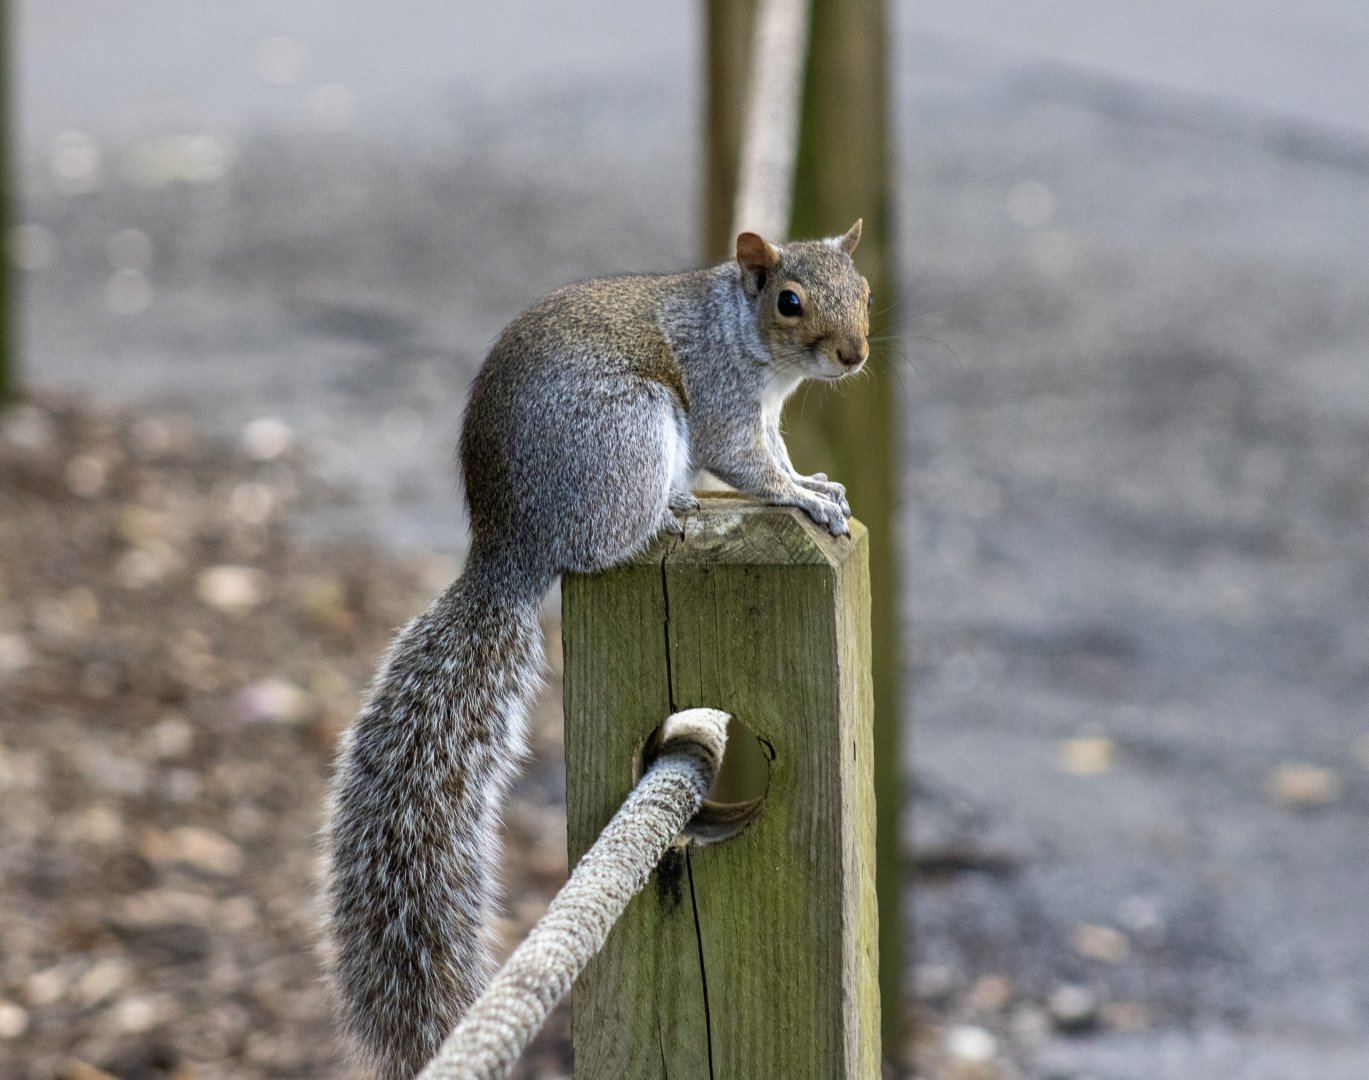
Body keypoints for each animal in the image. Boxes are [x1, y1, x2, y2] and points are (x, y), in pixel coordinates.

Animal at [320, 221, 870, 1079]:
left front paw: (813, 480)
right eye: (789, 302)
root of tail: (510, 549)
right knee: (597, 548)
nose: (853, 354)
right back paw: (670, 513)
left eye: (864, 290)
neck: (743, 338)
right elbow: (748, 464)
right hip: (626, 436)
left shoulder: (767, 416)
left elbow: (776, 455)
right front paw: (800, 498)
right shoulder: (720, 403)